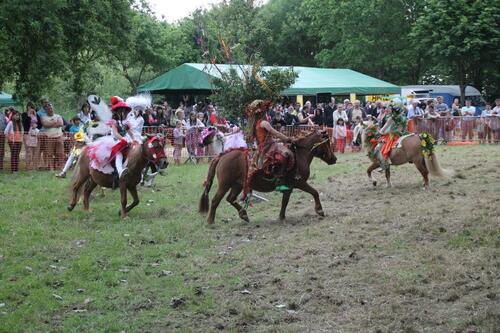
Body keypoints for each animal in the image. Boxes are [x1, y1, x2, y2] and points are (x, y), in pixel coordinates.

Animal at [198, 130, 336, 223]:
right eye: (327, 143)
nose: (334, 159)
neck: (300, 155)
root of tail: (223, 155)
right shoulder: (300, 183)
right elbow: (315, 192)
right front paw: (319, 210)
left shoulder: (289, 187)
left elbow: (285, 202)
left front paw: (281, 217)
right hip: (225, 185)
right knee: (215, 200)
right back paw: (210, 221)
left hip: (237, 185)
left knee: (230, 199)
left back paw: (244, 215)